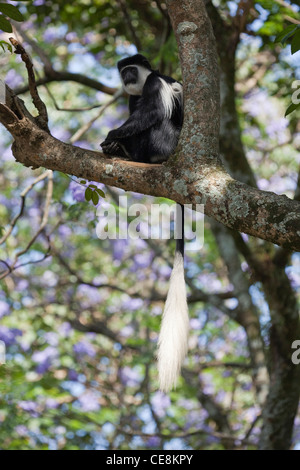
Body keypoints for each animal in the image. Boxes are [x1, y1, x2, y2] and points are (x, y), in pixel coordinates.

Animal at [102, 54, 189, 392]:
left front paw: (112, 136)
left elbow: (151, 112)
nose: (126, 76)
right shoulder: (131, 96)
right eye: (123, 71)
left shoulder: (154, 84)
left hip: (165, 142)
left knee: (155, 123)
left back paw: (129, 151)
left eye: (131, 69)